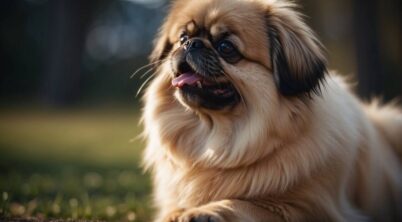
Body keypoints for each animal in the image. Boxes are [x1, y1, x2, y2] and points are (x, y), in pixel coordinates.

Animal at [140, 0, 400, 221]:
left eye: (226, 47)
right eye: (183, 37)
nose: (191, 44)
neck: (220, 139)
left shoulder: (306, 209)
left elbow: (242, 203)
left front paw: (204, 211)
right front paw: (178, 212)